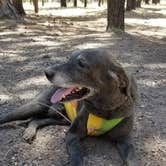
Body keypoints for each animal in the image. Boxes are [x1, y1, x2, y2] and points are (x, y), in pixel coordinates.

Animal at [0, 48, 138, 165]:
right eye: (69, 58)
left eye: (81, 64)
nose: (46, 72)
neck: (105, 109)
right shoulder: (72, 135)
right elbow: (76, 157)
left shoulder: (124, 140)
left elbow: (132, 158)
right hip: (37, 106)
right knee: (9, 116)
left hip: (60, 118)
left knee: (36, 120)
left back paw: (29, 132)